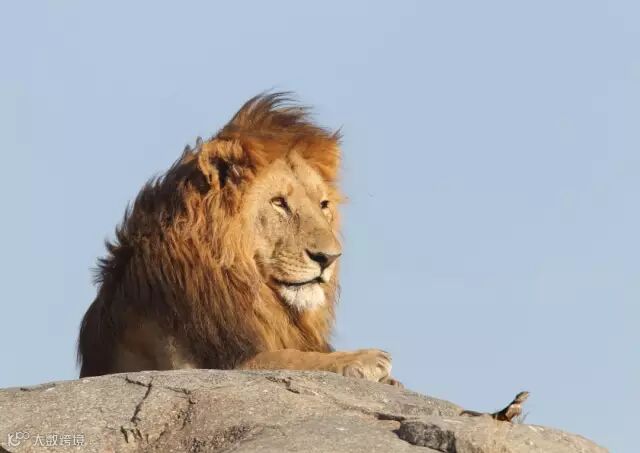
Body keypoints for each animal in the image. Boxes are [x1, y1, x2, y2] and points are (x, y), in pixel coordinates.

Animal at [77, 93, 399, 386]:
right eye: (279, 203)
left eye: (323, 205)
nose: (329, 258)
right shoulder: (202, 364)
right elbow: (292, 357)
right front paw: (364, 358)